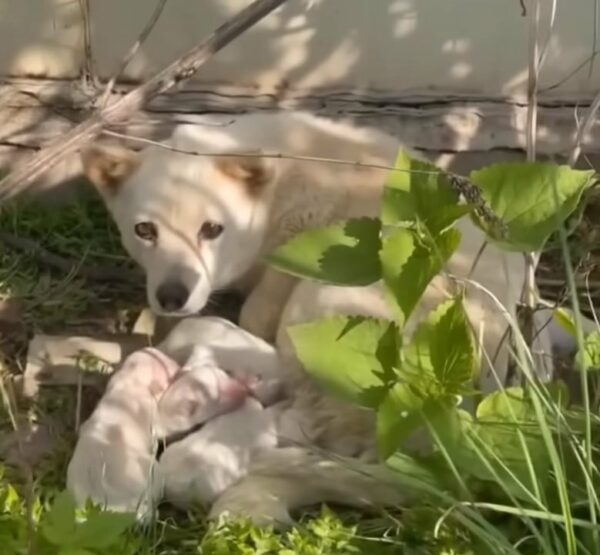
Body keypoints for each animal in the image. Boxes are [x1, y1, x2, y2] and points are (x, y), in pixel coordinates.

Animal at [79, 111, 552, 528]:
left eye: (212, 229)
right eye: (145, 231)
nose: (172, 296)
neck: (276, 188)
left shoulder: (282, 274)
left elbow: (251, 317)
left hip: (327, 300)